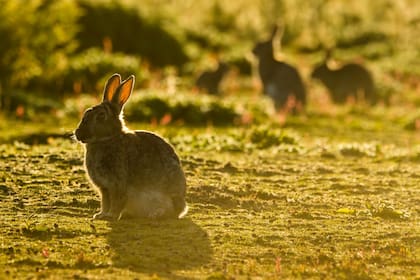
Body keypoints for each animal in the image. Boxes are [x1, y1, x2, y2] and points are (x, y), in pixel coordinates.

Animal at [74, 74, 188, 221]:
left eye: (101, 116)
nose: (78, 134)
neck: (107, 139)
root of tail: (182, 206)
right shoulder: (104, 188)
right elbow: (105, 202)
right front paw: (101, 215)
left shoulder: (118, 184)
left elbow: (117, 201)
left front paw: (111, 215)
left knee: (171, 212)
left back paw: (156, 214)